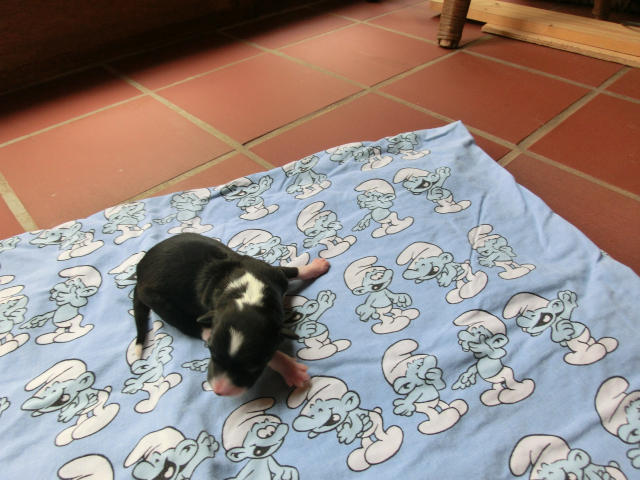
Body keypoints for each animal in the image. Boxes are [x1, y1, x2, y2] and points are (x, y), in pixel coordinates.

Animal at [133, 233, 330, 396]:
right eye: (211, 352)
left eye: (252, 367)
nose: (218, 391)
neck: (247, 293)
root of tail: (139, 273)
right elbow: (274, 353)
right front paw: (291, 370)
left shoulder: (272, 273)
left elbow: (290, 270)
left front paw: (315, 267)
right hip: (158, 300)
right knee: (184, 323)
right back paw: (204, 330)